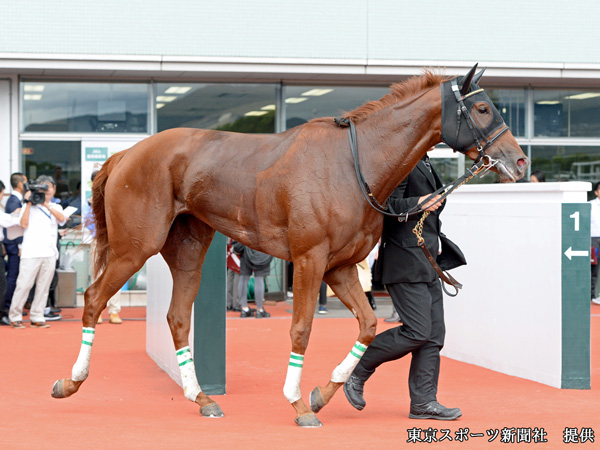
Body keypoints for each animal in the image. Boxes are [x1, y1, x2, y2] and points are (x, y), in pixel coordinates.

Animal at [52, 65, 528, 428]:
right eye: (483, 108)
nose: (520, 159)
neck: (353, 163)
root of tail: (125, 155)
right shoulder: (309, 259)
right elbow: (301, 328)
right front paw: (300, 403)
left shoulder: (340, 267)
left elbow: (369, 324)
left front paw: (324, 393)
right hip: (135, 247)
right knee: (93, 298)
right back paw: (70, 381)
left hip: (187, 249)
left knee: (177, 318)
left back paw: (202, 398)